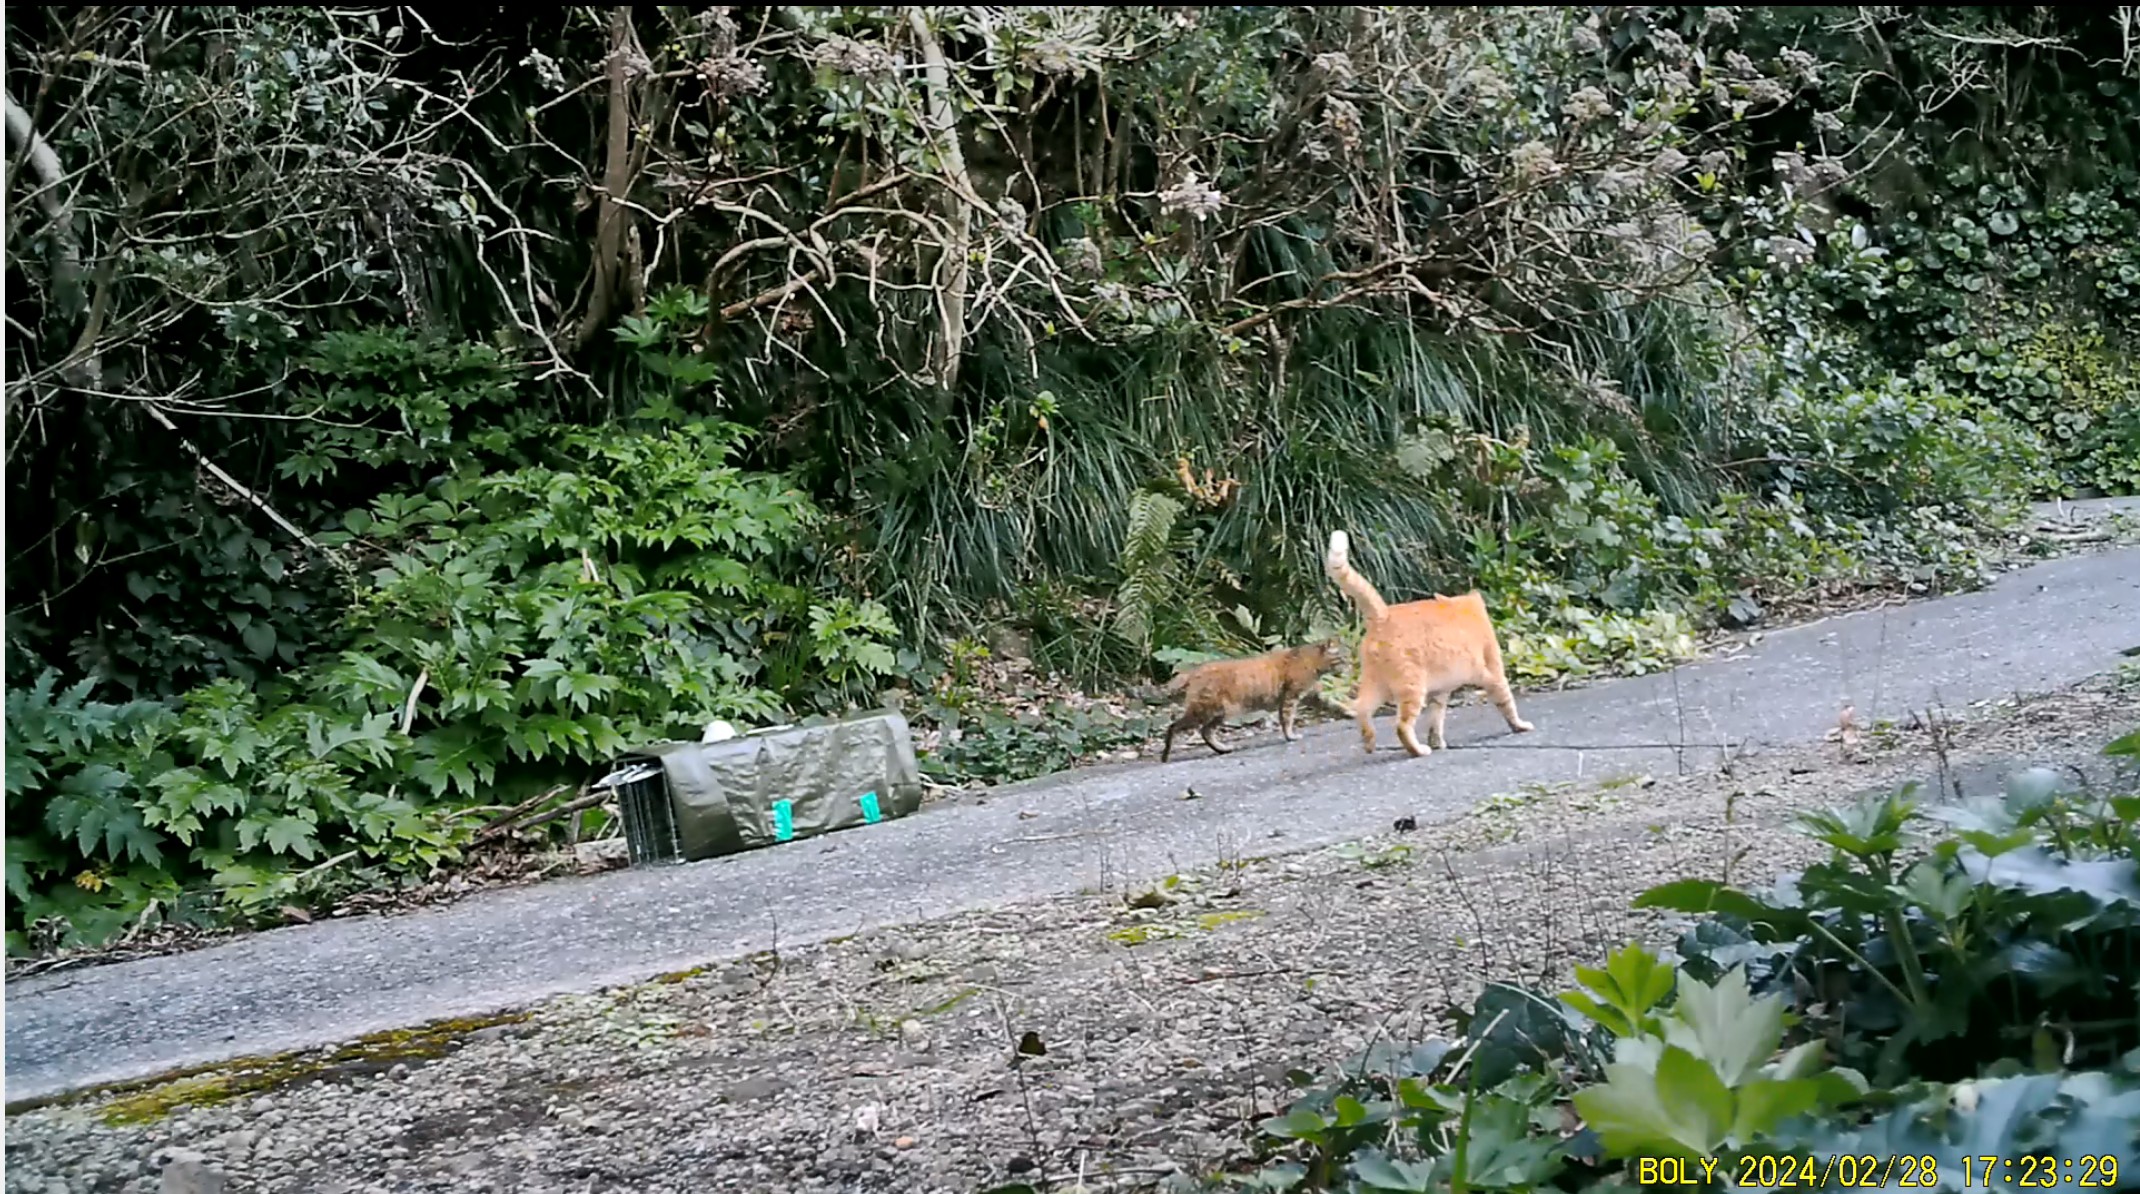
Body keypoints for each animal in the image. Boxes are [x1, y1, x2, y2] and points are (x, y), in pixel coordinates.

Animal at [1164, 641, 1343, 761]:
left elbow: (1338, 706)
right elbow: (1287, 720)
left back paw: (1222, 749)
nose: (1347, 664)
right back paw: (1165, 754)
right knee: (1173, 726)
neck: (1308, 658)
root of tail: (1193, 672)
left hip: (1220, 712)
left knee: (1205, 731)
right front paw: (1290, 736)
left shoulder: (1311, 696)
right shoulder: (1290, 698)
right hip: (1205, 711)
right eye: (1341, 658)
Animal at [1326, 532, 1532, 757]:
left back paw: (1369, 743)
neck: (1466, 610)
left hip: (1376, 684)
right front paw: (1520, 726)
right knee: (1402, 726)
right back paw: (1418, 750)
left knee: (1361, 709)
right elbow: (1507, 702)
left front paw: (1436, 742)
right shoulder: (1494, 673)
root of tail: (1383, 615)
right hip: (1412, 687)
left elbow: (1435, 720)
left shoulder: (1439, 693)